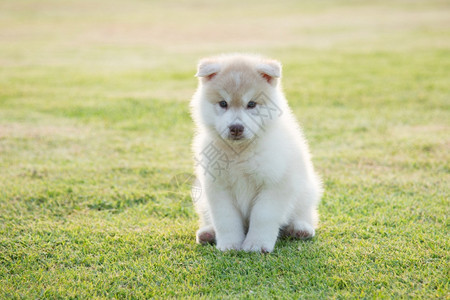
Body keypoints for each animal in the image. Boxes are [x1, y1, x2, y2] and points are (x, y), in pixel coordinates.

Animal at [188, 54, 322, 253]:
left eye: (251, 104)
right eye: (223, 103)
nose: (236, 128)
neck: (240, 153)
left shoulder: (275, 183)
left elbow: (263, 216)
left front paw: (256, 245)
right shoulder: (217, 186)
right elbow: (225, 219)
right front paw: (229, 245)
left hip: (306, 190)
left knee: (305, 214)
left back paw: (300, 229)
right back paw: (208, 233)